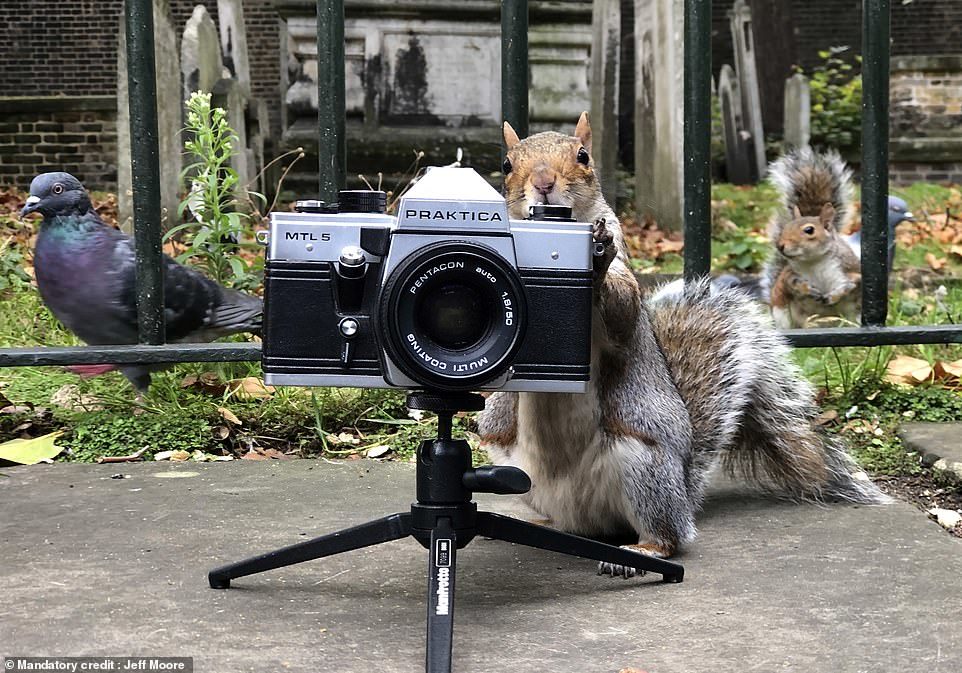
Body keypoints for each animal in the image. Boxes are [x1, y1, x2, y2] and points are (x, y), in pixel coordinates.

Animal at [476, 114, 888, 572]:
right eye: (508, 163)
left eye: (583, 156)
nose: (544, 182)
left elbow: (621, 312)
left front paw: (598, 260)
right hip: (513, 468)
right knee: (564, 520)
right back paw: (541, 524)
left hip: (645, 468)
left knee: (668, 535)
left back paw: (640, 551)